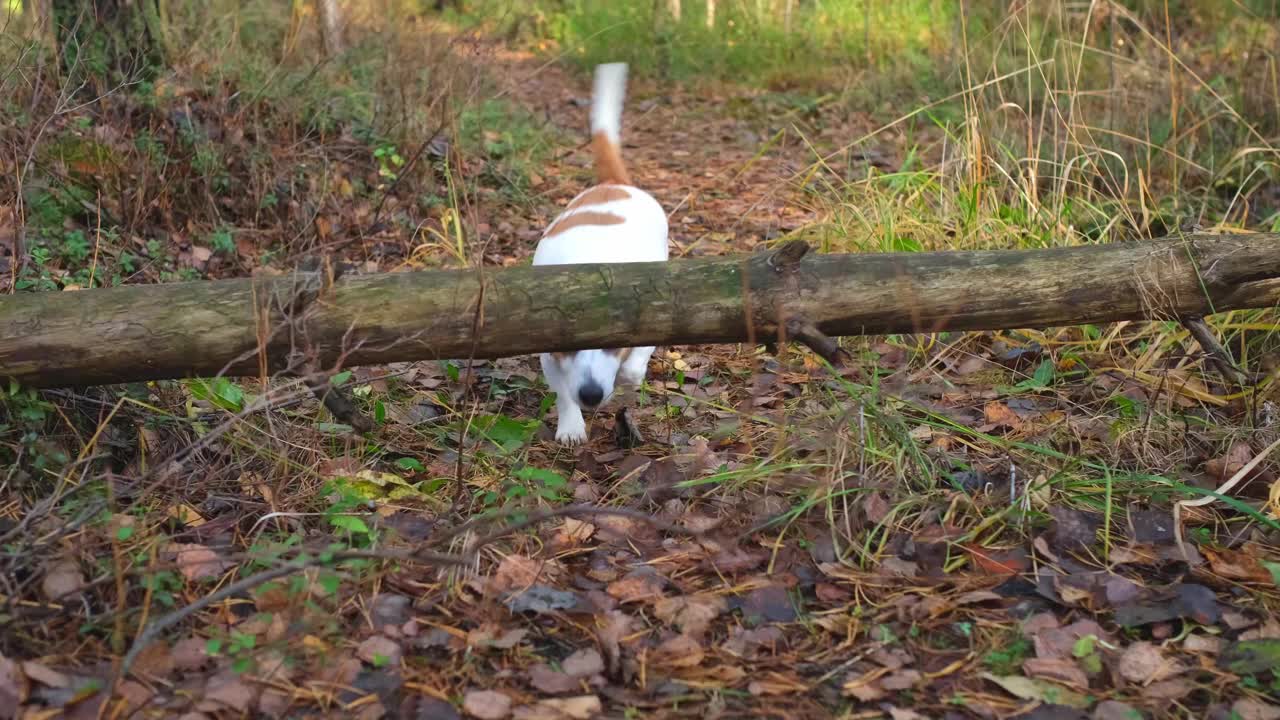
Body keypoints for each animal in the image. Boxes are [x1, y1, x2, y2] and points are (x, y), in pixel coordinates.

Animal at [529, 63, 670, 443]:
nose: (591, 394)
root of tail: (612, 184)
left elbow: (634, 365)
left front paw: (626, 378)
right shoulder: (549, 354)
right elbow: (563, 391)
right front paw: (571, 426)